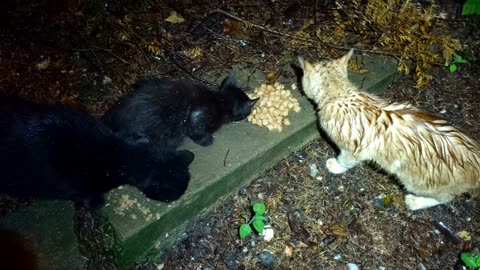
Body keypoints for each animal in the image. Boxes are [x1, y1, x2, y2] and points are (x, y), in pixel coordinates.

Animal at [298, 50, 478, 211]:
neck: (341, 95)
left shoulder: (354, 148)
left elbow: (345, 160)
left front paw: (335, 165)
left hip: (422, 182)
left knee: (445, 198)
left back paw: (417, 202)